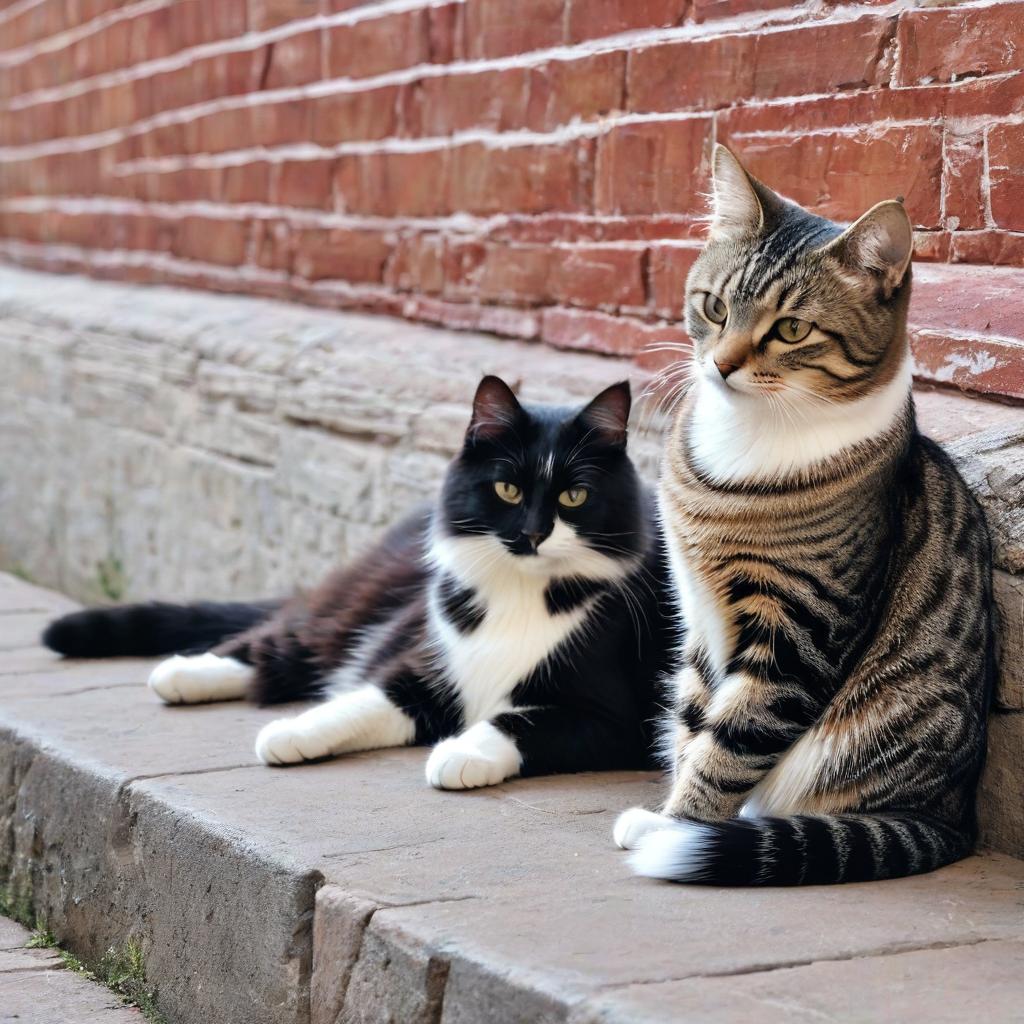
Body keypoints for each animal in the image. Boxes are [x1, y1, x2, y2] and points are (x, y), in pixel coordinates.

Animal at [41, 380, 679, 786]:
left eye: (574, 496)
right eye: (507, 489)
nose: (532, 534)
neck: (522, 595)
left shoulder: (617, 718)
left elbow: (523, 720)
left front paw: (462, 753)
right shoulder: (427, 661)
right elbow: (368, 695)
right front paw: (292, 732)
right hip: (366, 599)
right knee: (292, 637)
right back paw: (186, 673)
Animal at [610, 146, 995, 888]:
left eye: (791, 329)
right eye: (715, 306)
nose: (721, 365)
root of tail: (952, 818)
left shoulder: (802, 628)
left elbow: (729, 743)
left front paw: (681, 828)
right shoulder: (699, 614)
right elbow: (695, 717)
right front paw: (666, 813)